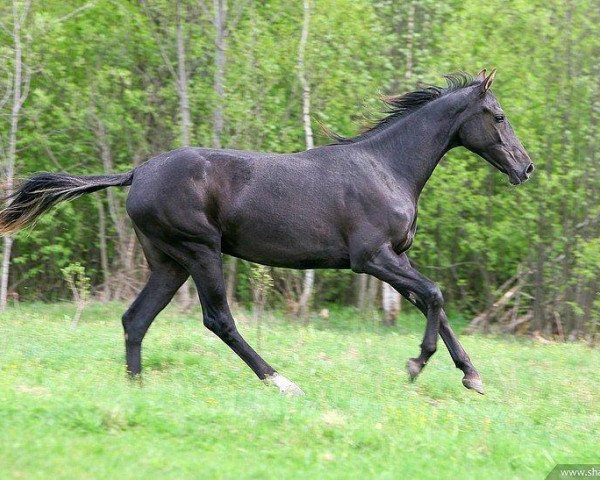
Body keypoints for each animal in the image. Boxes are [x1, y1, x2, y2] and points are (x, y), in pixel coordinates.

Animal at [0, 69, 536, 396]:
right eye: (499, 116)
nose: (526, 168)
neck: (386, 167)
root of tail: (137, 173)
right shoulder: (372, 258)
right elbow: (436, 295)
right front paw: (416, 364)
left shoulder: (396, 258)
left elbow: (432, 304)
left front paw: (472, 376)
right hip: (200, 251)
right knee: (218, 319)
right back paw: (282, 382)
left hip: (168, 262)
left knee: (136, 319)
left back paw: (137, 388)